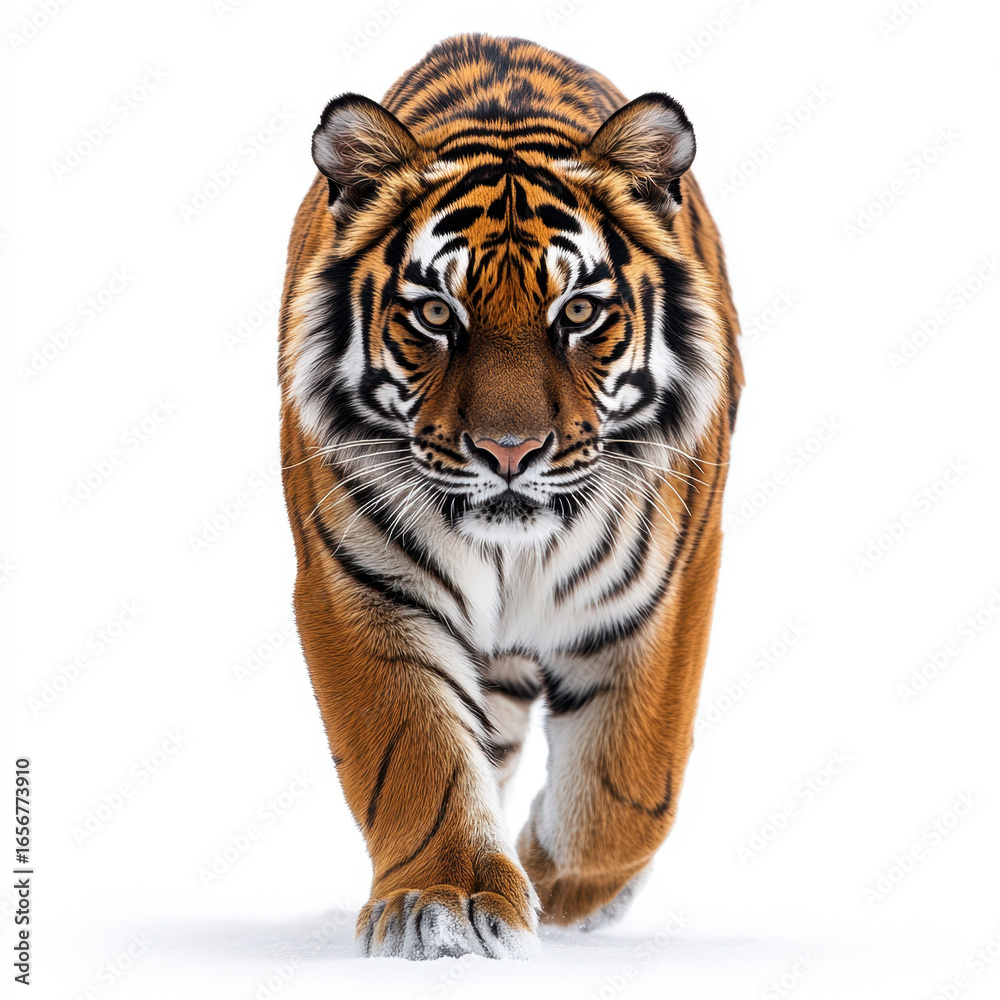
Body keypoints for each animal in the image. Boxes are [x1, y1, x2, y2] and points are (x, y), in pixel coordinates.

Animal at [278, 33, 743, 960]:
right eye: (434, 314)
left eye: (581, 311)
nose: (508, 451)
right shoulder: (360, 584)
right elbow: (413, 751)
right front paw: (446, 900)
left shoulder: (667, 591)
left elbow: (631, 783)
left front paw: (559, 888)